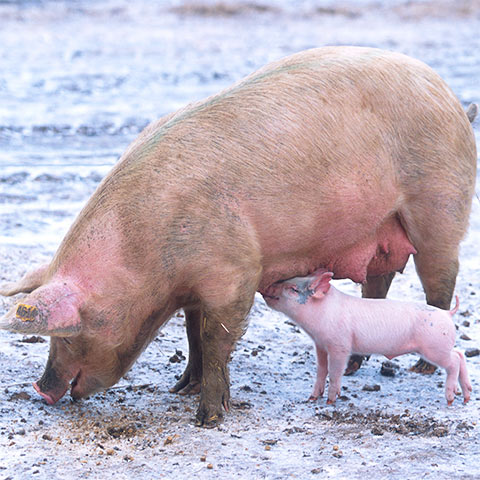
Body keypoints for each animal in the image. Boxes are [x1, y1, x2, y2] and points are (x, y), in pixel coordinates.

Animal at [260, 270, 470, 404]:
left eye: (293, 289)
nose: (266, 287)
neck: (322, 313)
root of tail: (448, 314)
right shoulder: (320, 344)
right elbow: (321, 370)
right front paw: (311, 398)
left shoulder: (340, 345)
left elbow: (335, 372)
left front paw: (330, 401)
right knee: (460, 354)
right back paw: (466, 396)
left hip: (434, 347)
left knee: (454, 361)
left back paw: (451, 399)